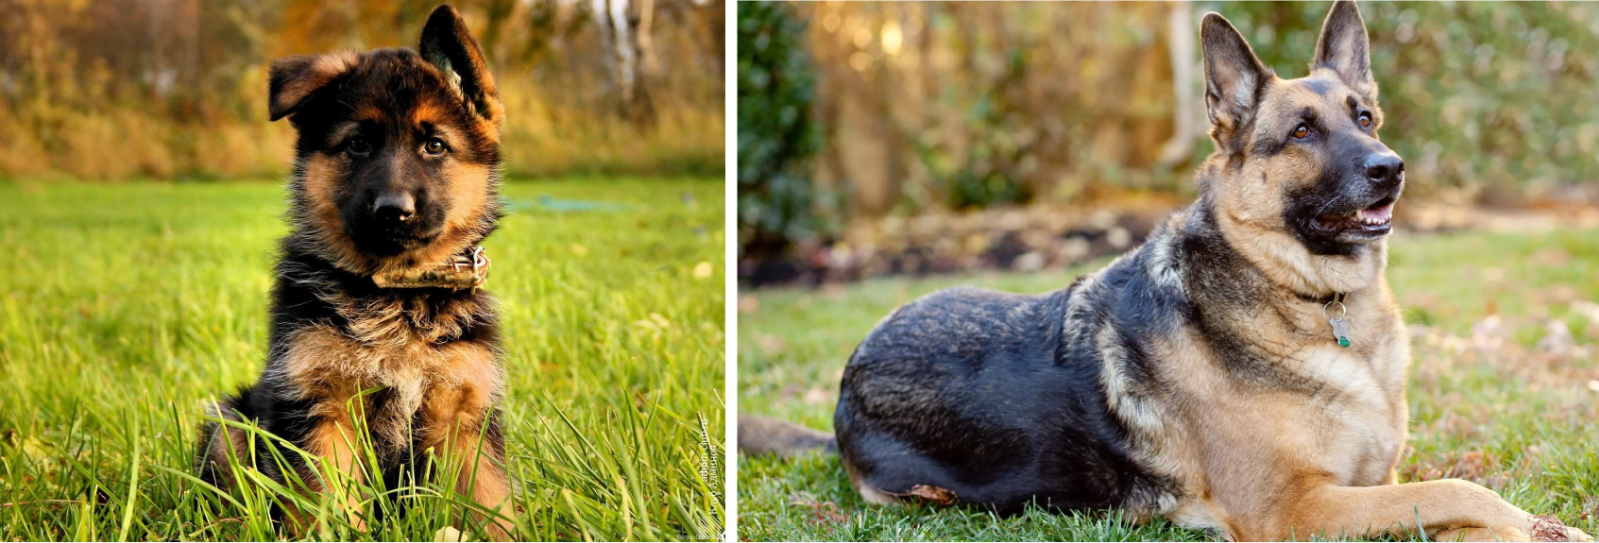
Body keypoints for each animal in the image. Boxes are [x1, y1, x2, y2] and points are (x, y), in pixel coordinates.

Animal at [194, 4, 514, 539]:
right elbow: (327, 504)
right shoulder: (321, 407)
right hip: (231, 423)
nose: (393, 211)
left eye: (434, 145)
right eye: (358, 144)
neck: (396, 294)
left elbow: (490, 502)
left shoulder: (464, 415)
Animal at [741, 3, 1592, 539]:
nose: (1390, 169)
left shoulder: (1372, 487)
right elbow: (1460, 487)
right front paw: (1545, 526)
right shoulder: (1297, 508)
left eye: (1363, 117)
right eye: (1301, 131)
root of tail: (847, 374)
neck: (1314, 302)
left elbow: (1457, 504)